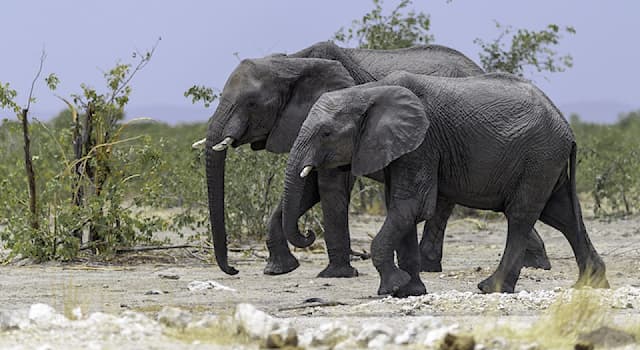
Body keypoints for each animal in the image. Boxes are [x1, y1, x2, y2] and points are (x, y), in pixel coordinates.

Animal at [201, 40, 552, 276]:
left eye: (250, 104)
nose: (233, 271)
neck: (292, 62)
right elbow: (309, 187)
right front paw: (279, 270)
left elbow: (329, 187)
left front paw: (336, 274)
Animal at [282, 70, 608, 296]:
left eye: (325, 134)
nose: (308, 234)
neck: (367, 92)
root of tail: (567, 127)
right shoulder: (402, 149)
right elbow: (400, 209)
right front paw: (409, 291)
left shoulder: (423, 143)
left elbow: (411, 207)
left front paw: (392, 287)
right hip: (547, 161)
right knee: (563, 215)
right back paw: (591, 285)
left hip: (539, 157)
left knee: (521, 216)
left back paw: (490, 288)